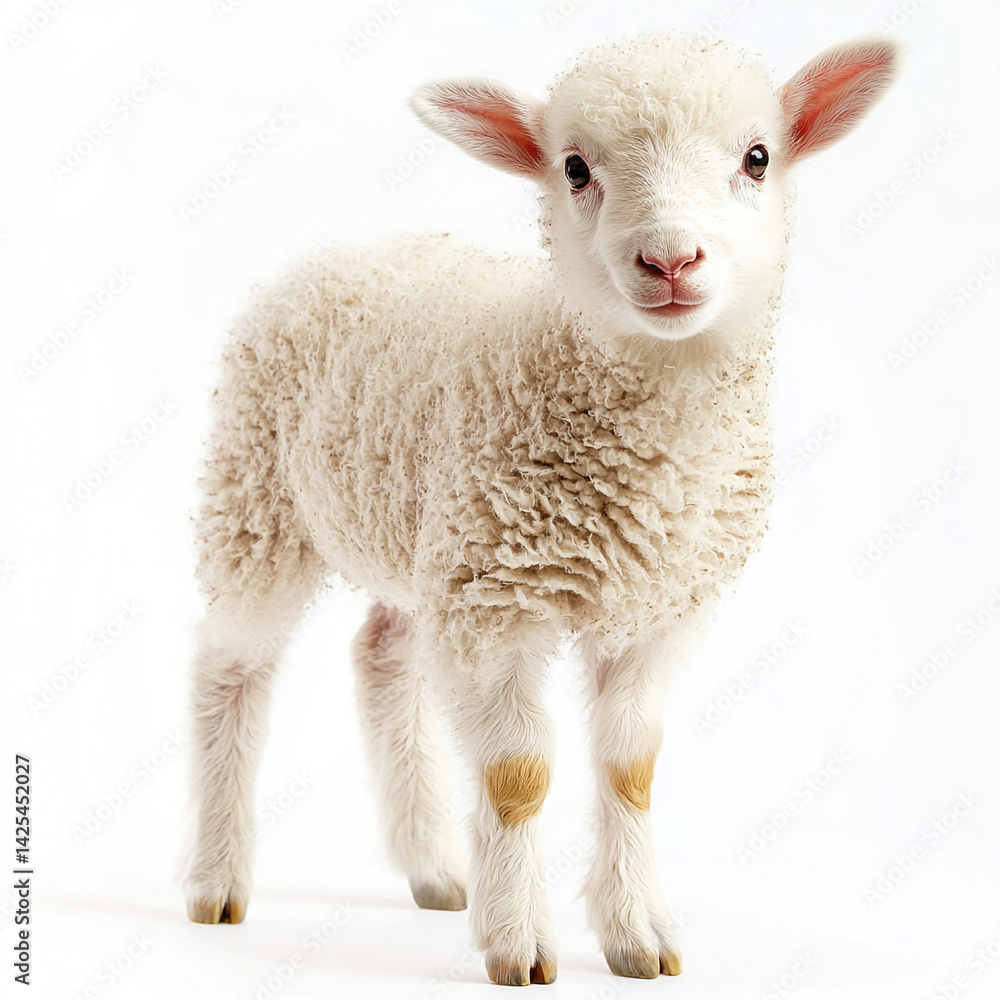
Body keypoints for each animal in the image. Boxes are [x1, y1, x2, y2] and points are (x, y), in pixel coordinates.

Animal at [182, 31, 901, 986]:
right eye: (575, 167)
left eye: (757, 157)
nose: (670, 261)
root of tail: (337, 251)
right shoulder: (499, 604)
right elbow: (517, 779)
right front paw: (520, 943)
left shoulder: (652, 607)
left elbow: (632, 770)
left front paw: (638, 935)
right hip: (258, 497)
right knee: (230, 668)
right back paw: (217, 880)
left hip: (422, 536)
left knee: (383, 656)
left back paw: (435, 869)